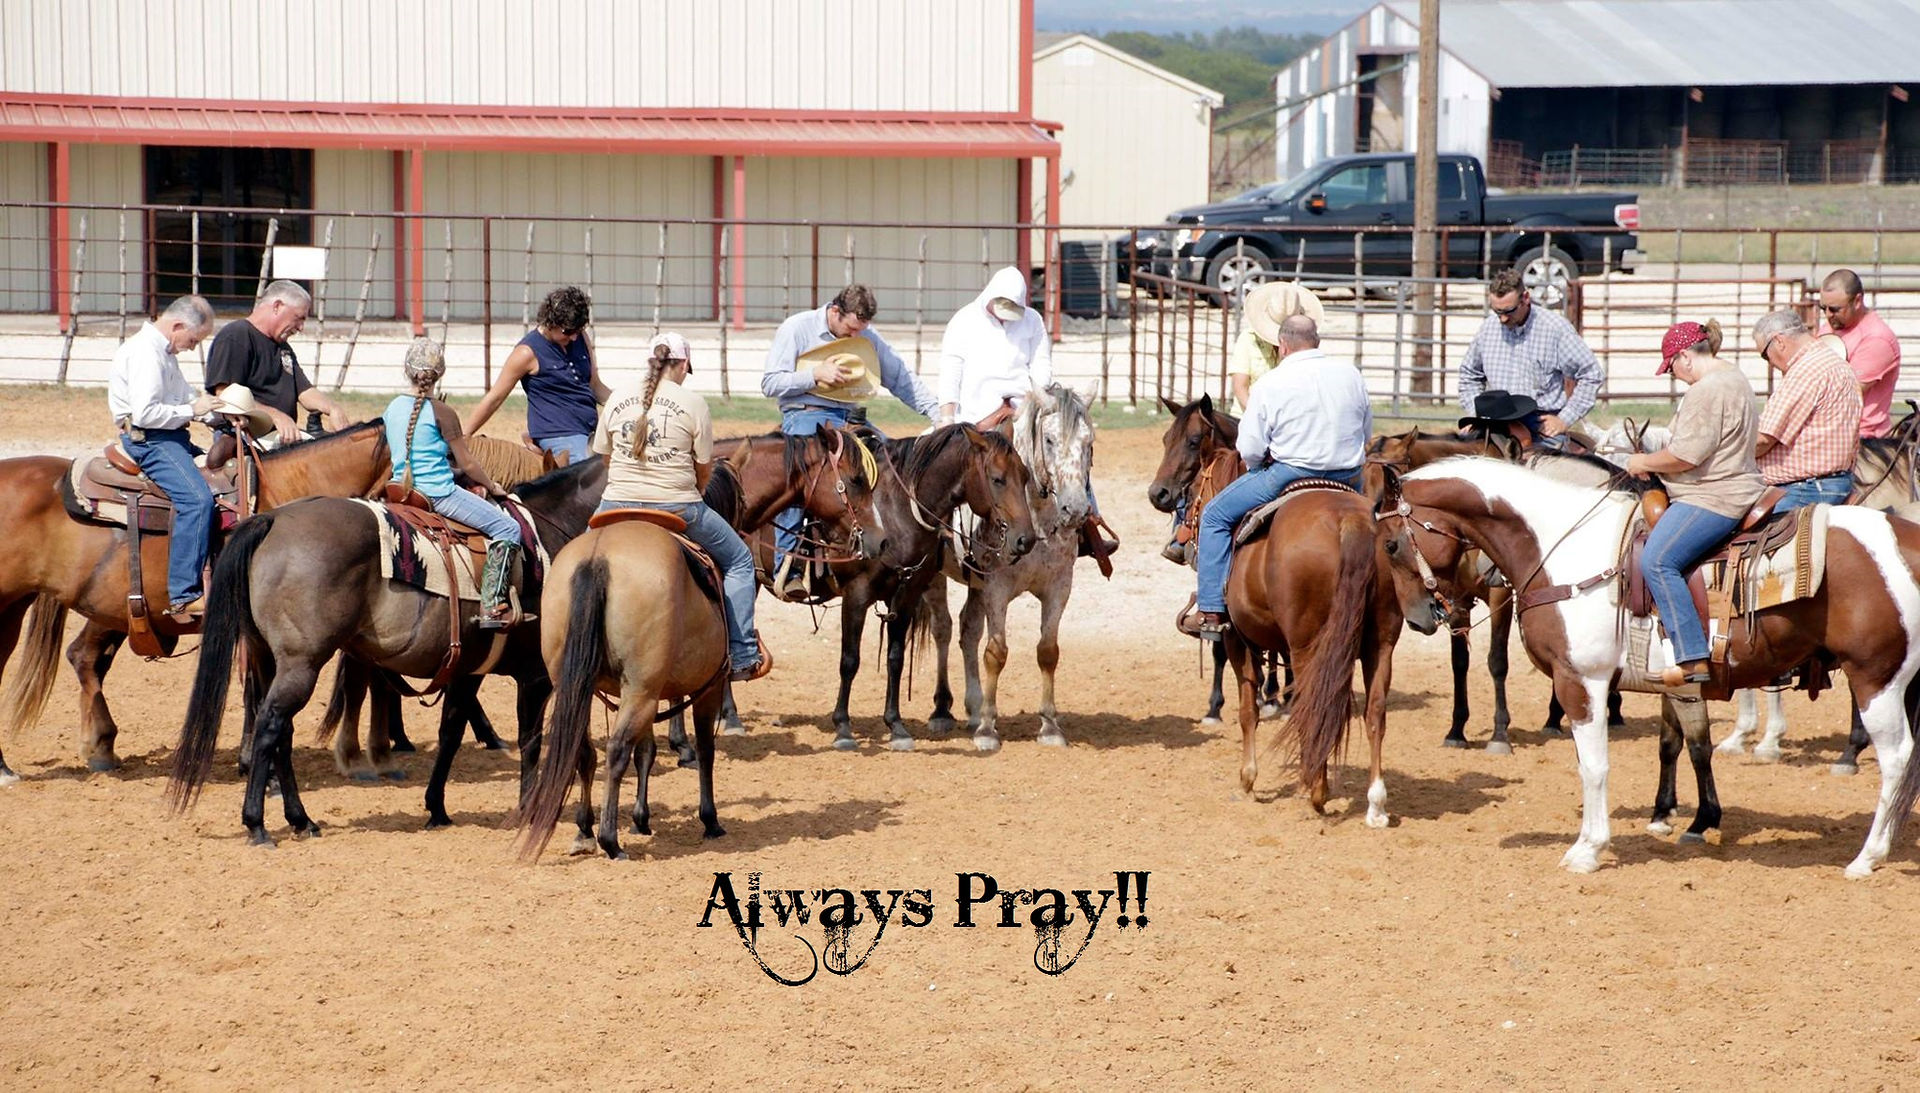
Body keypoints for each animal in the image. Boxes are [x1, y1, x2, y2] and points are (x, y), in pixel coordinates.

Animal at [166, 457, 606, 844]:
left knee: (281, 732)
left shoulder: (468, 671)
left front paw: (436, 808)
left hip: (272, 661)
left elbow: (450, 733)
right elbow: (530, 742)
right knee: (270, 727)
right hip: (300, 664)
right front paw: (528, 810)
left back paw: (301, 819)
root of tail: (272, 520)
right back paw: (257, 824)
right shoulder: (536, 677)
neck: (545, 539)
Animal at [516, 518, 730, 861]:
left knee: (585, 751)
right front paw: (710, 820)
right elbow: (706, 751)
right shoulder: (709, 687)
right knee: (616, 750)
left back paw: (585, 831)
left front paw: (641, 819)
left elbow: (646, 751)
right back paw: (610, 841)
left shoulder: (650, 693)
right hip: (641, 692)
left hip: (584, 687)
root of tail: (597, 558)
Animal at [1218, 483, 1446, 825]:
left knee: (1314, 707)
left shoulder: (1237, 640)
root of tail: (1350, 522)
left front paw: (1247, 780)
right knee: (1375, 712)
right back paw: (1376, 806)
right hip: (1379, 646)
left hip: (1306, 648)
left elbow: (1249, 711)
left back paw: (1317, 793)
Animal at [1376, 457, 1920, 876]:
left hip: (1876, 679)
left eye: (1391, 544)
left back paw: (1867, 858)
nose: (1419, 618)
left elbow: (1594, 765)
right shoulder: (1668, 685)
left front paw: (1588, 850)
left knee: (1896, 758)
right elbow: (1671, 745)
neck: (1561, 550)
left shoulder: (1583, 683)